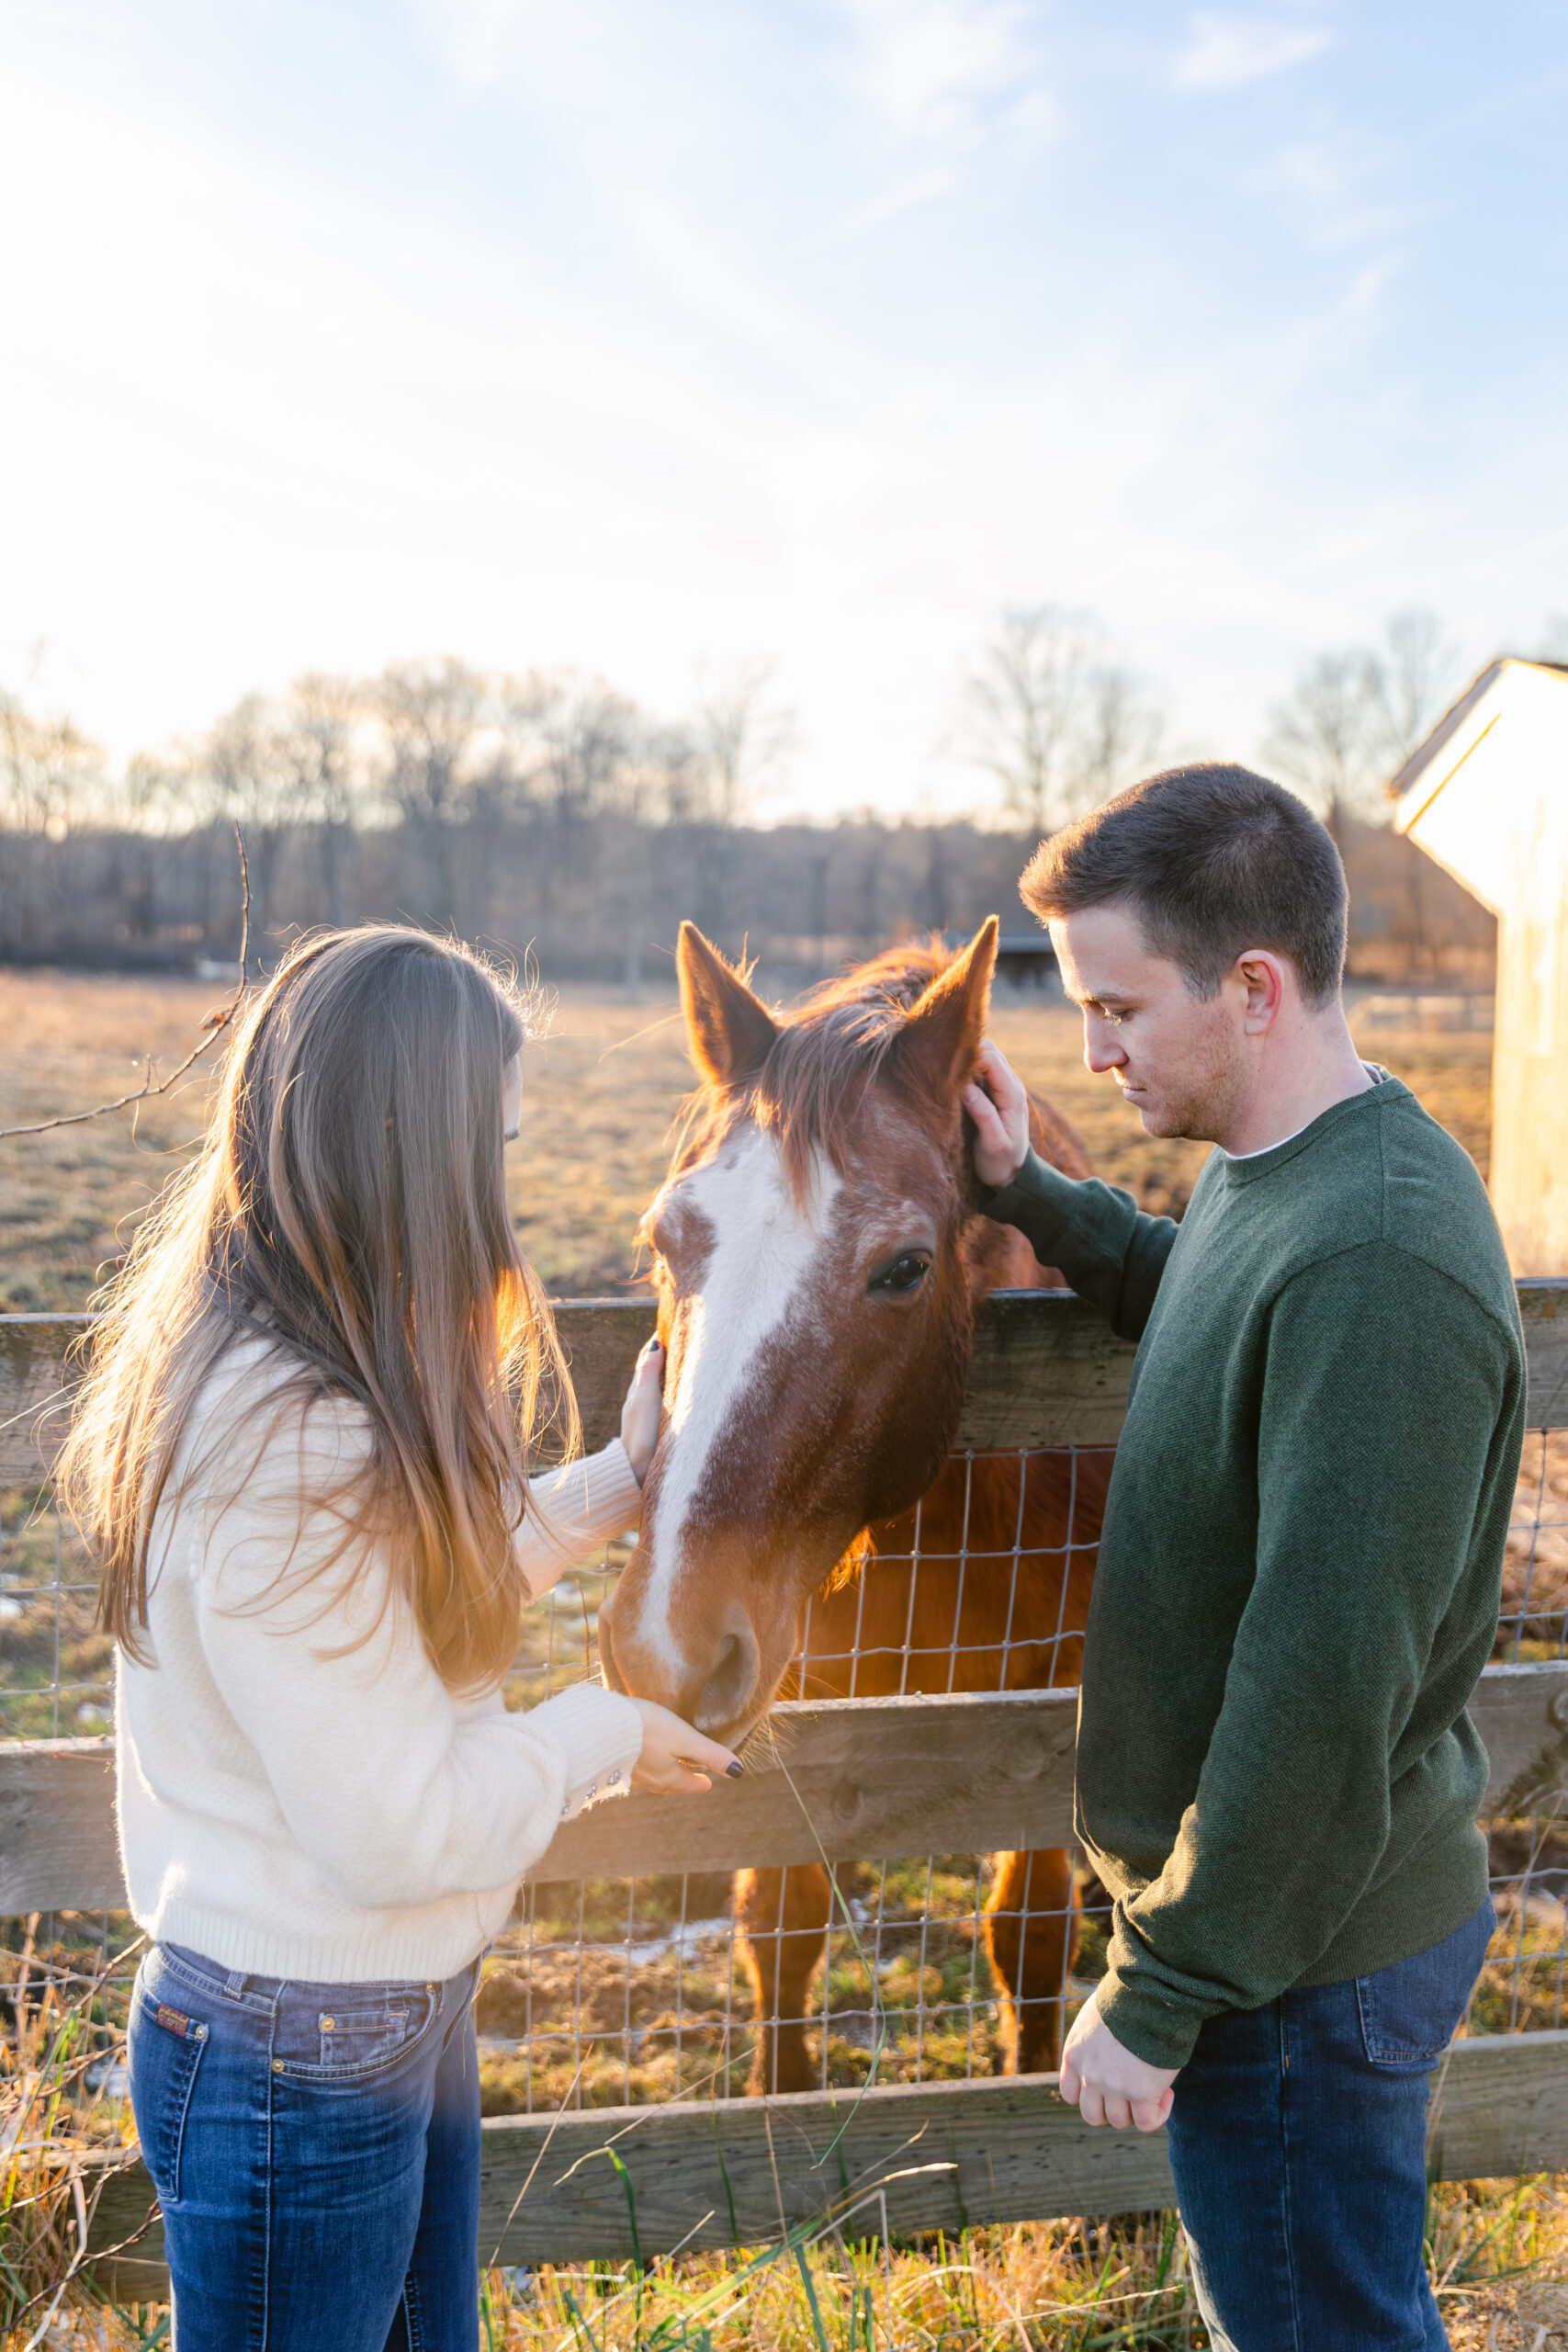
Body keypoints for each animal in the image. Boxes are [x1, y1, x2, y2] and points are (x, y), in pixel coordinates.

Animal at [594, 917, 1109, 2098]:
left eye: (905, 1267)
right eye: (665, 1239)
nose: (664, 1652)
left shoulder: (1047, 1704)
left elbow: (1031, 1932)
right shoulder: (816, 1701)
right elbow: (782, 1924)